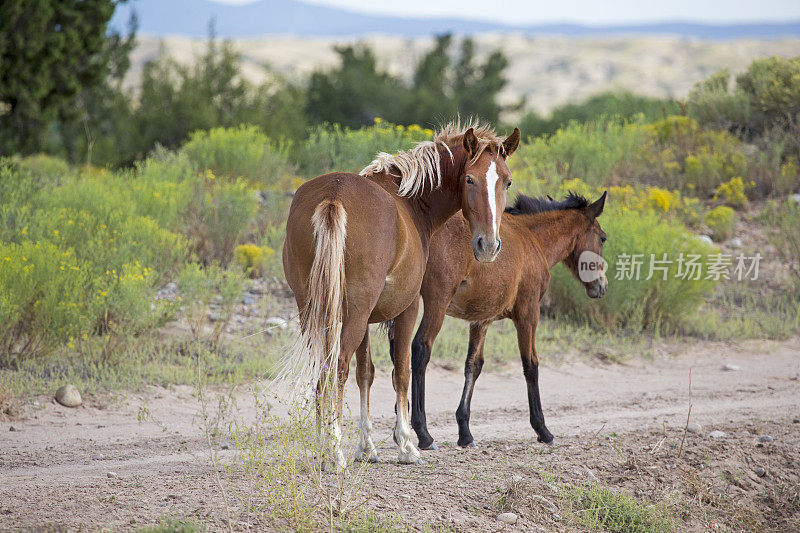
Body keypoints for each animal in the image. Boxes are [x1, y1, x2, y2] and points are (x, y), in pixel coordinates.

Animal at [280, 121, 520, 470]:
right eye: (469, 179)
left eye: (507, 180)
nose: (488, 245)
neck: (409, 201)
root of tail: (333, 195)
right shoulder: (406, 309)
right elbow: (402, 372)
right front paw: (407, 444)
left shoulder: (367, 319)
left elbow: (366, 374)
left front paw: (366, 447)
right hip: (352, 314)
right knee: (337, 368)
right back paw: (334, 452)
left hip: (318, 312)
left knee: (323, 371)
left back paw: (322, 447)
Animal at [396, 191, 608, 448]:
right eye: (603, 238)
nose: (601, 287)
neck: (532, 238)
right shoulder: (528, 312)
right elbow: (531, 364)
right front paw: (542, 429)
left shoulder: (481, 320)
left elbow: (473, 366)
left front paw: (465, 432)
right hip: (437, 302)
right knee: (420, 348)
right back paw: (423, 433)